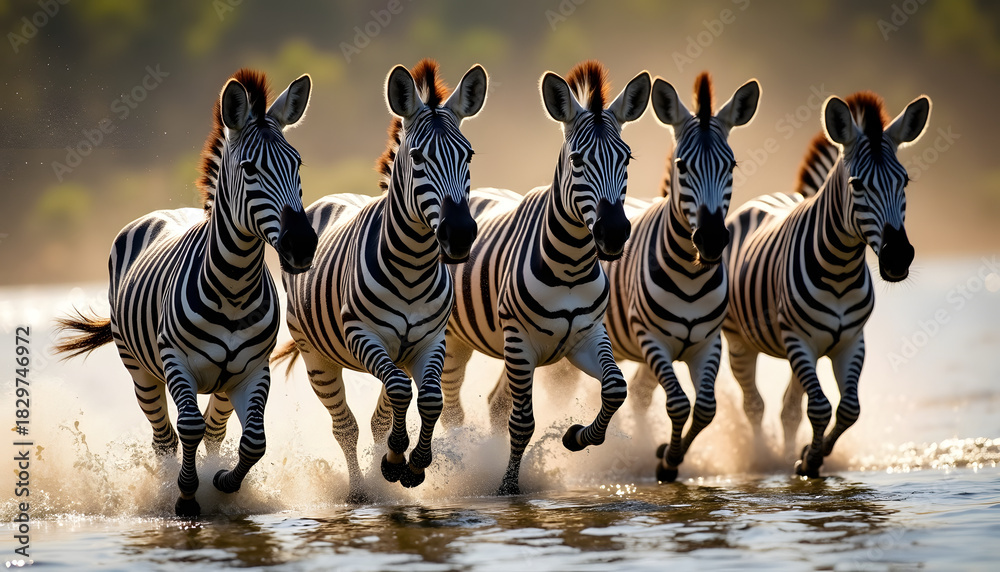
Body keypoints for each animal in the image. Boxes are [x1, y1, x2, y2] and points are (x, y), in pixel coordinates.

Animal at [53, 69, 317, 517]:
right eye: (249, 168)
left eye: (297, 164)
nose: (301, 245)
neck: (234, 286)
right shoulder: (177, 361)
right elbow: (188, 427)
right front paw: (186, 494)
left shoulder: (253, 369)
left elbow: (253, 441)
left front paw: (223, 482)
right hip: (140, 371)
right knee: (165, 438)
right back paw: (165, 488)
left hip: (223, 383)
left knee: (214, 431)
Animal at [271, 60, 487, 501]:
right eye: (418, 156)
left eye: (468, 155)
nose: (459, 234)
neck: (413, 266)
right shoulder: (363, 335)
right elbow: (402, 395)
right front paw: (396, 459)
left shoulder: (430, 341)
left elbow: (431, 399)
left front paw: (412, 463)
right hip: (318, 358)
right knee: (345, 427)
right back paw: (360, 491)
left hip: (396, 356)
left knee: (378, 418)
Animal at [439, 61, 651, 495]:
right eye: (578, 160)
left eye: (625, 159)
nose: (614, 233)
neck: (570, 264)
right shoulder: (521, 342)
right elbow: (522, 422)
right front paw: (507, 489)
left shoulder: (587, 337)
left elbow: (615, 388)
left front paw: (577, 437)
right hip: (456, 340)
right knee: (455, 409)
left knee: (492, 403)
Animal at [603, 73, 761, 482]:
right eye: (683, 166)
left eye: (730, 166)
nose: (712, 239)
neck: (690, 275)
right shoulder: (651, 338)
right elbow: (678, 403)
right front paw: (668, 461)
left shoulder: (708, 343)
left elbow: (705, 408)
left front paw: (667, 456)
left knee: (640, 395)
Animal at [722, 91, 931, 477]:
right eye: (857, 184)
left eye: (905, 181)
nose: (898, 257)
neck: (840, 269)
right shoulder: (798, 340)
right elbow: (819, 407)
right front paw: (809, 459)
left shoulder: (850, 341)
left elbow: (848, 409)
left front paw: (809, 454)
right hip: (741, 341)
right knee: (754, 405)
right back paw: (762, 458)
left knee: (788, 409)